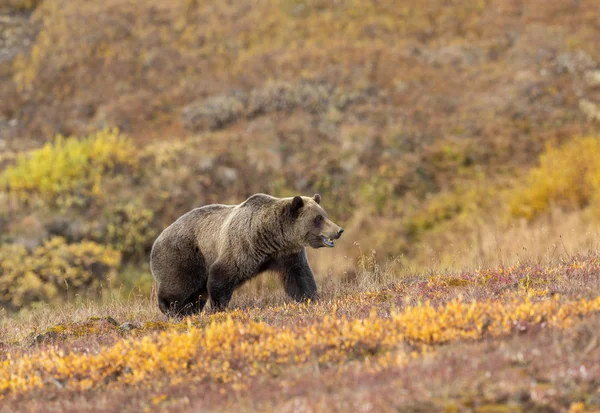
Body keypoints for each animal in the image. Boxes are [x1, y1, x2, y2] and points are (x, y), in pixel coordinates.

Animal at [150, 193, 344, 316]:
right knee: (179, 284)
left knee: (196, 294)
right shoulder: (242, 247)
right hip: (184, 254)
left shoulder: (287, 254)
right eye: (318, 218)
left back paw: (189, 311)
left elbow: (299, 277)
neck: (272, 237)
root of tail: (157, 239)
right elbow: (221, 275)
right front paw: (219, 308)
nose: (339, 230)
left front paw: (310, 298)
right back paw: (172, 309)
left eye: (324, 215)